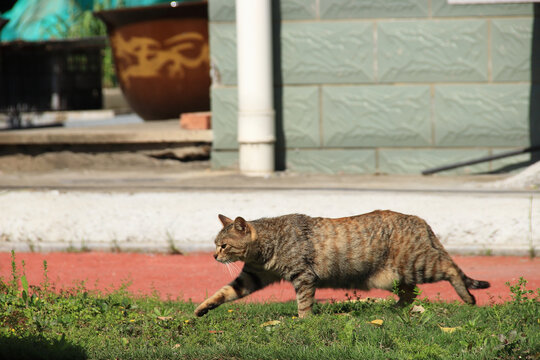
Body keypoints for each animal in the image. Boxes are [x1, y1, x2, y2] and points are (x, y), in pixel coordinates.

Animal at [194, 211, 490, 318]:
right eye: (215, 244)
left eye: (223, 245)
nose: (214, 257)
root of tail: (420, 220)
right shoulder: (252, 276)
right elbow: (224, 292)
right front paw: (201, 309)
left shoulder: (303, 276)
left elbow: (304, 303)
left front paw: (303, 322)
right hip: (397, 275)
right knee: (409, 293)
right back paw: (394, 310)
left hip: (418, 264)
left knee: (451, 268)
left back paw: (468, 298)